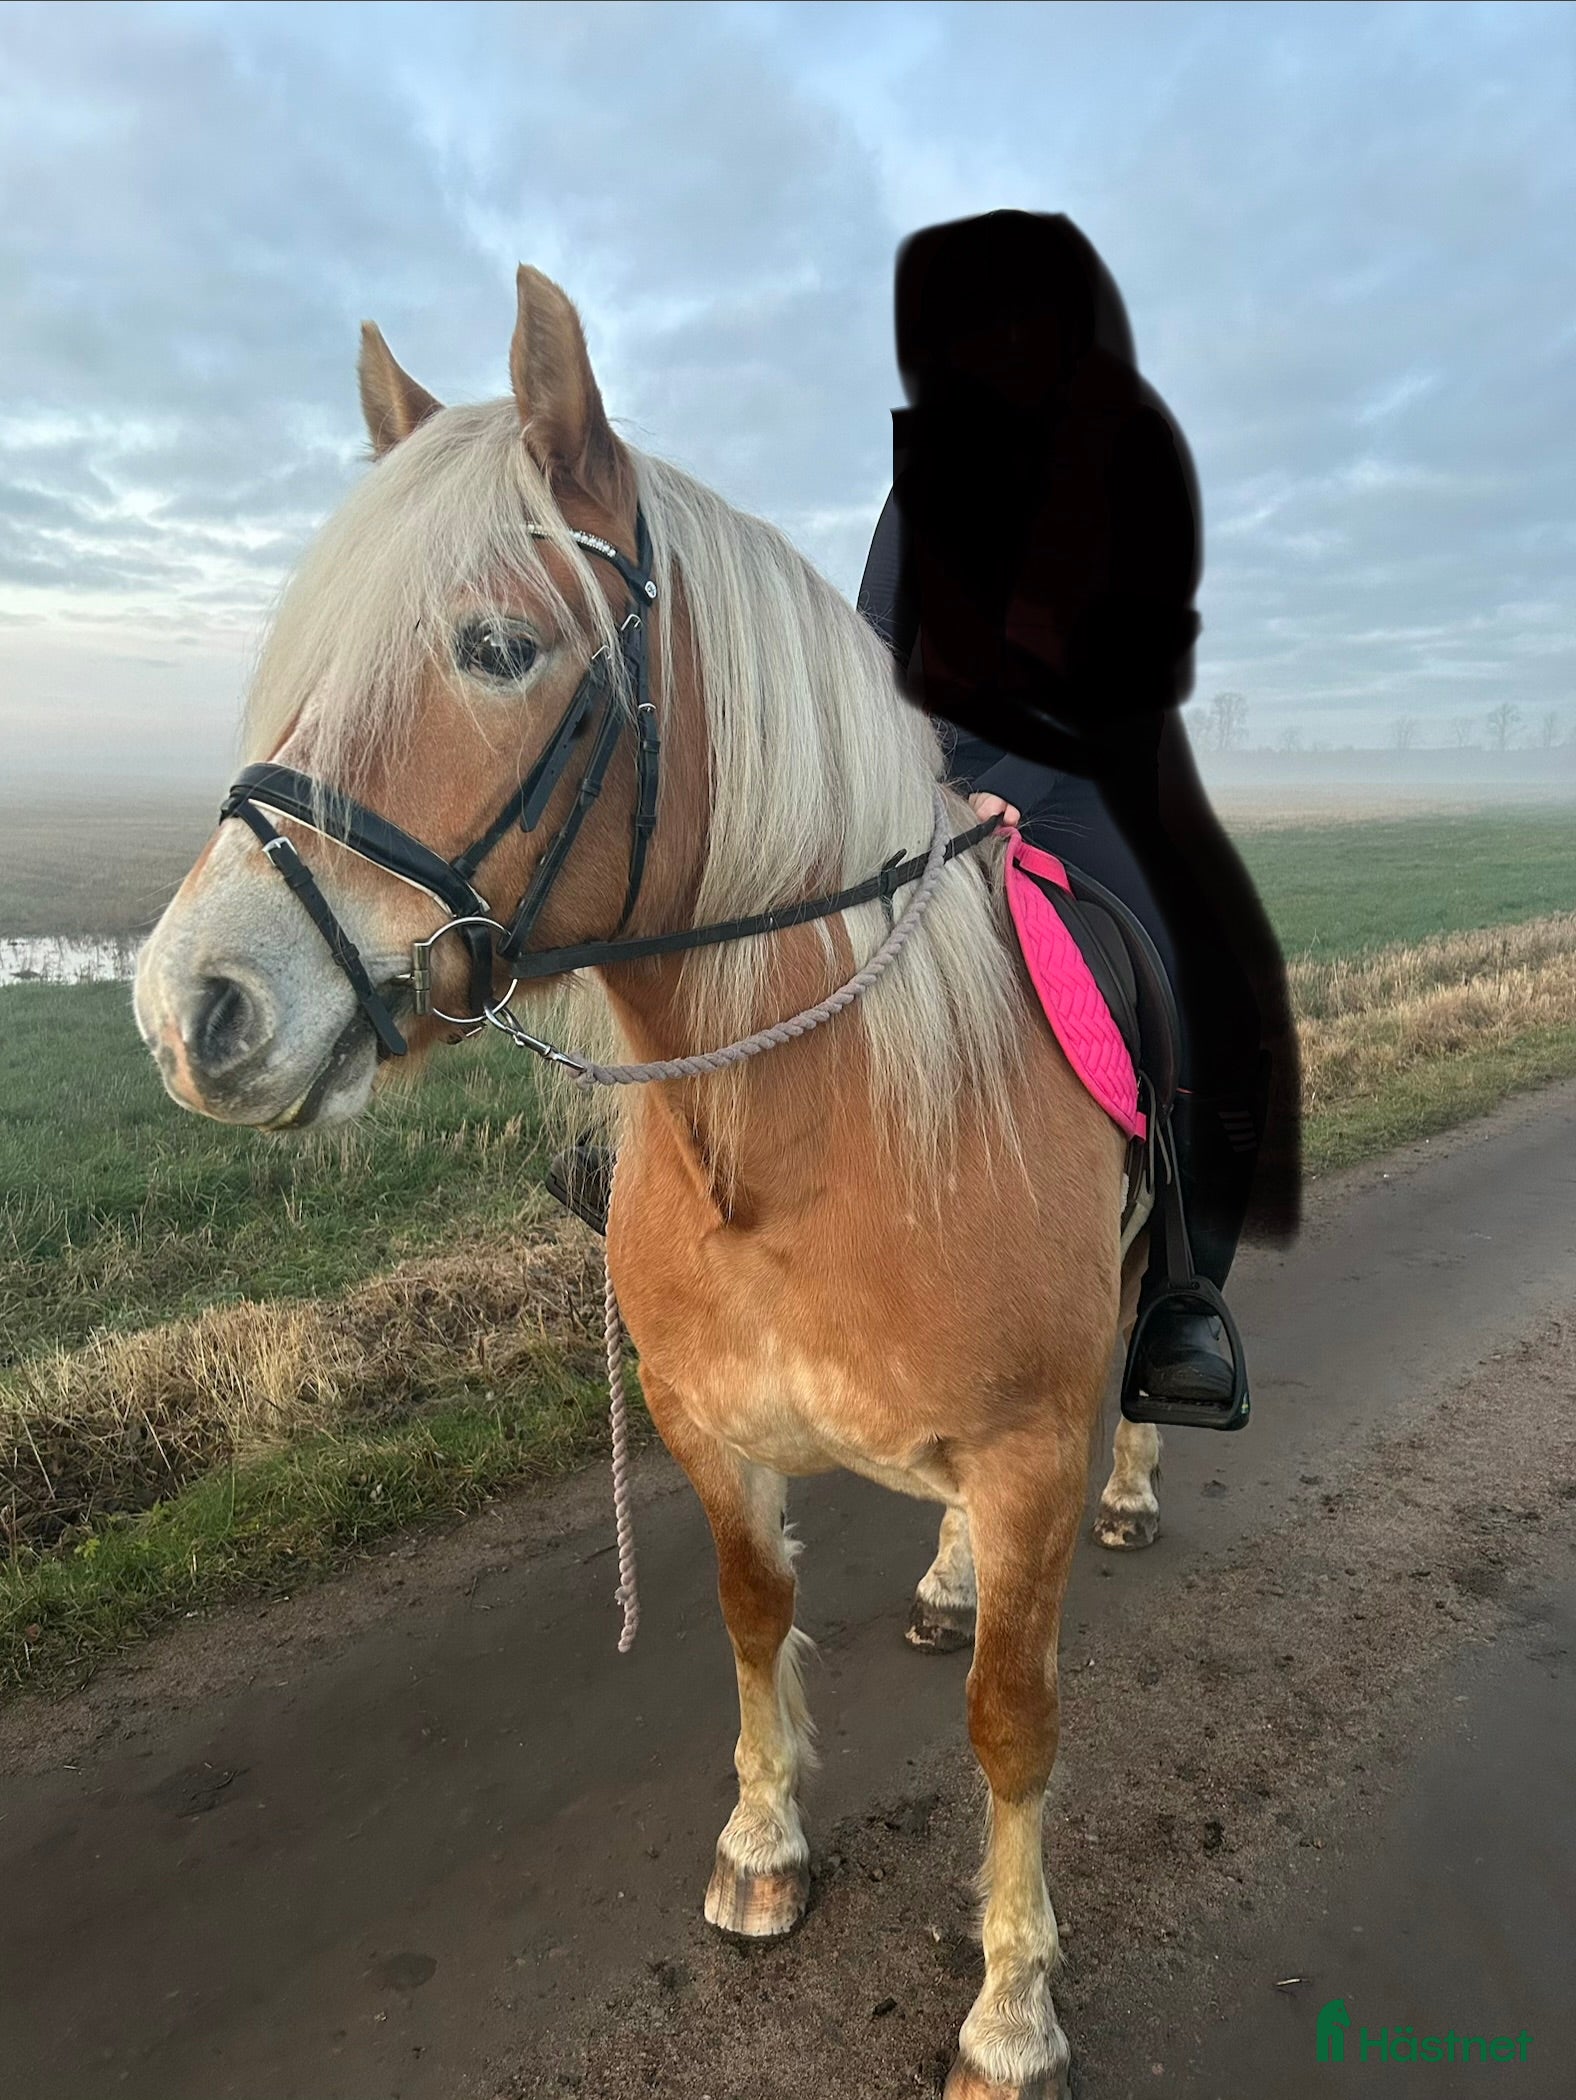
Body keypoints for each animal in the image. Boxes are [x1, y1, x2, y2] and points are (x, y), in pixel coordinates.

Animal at [134, 264, 1165, 2100]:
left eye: (497, 648)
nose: (197, 1008)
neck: (804, 1143)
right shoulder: (707, 1422)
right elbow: (756, 1618)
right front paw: (762, 1849)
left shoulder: (1033, 1448)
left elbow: (1012, 1720)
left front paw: (1011, 2006)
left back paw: (1140, 1484)